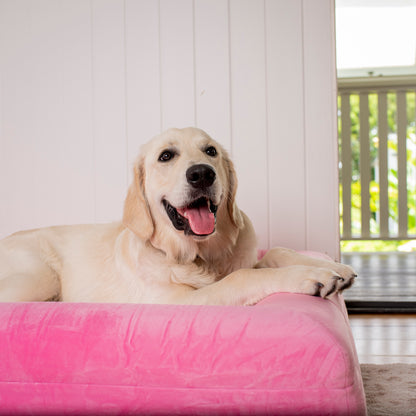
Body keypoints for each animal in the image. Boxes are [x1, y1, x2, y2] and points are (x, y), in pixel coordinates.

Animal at [0, 127, 356, 306]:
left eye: (210, 151)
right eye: (166, 156)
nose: (202, 174)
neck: (199, 256)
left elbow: (274, 254)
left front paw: (331, 267)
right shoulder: (180, 303)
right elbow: (244, 277)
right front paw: (310, 276)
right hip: (38, 278)